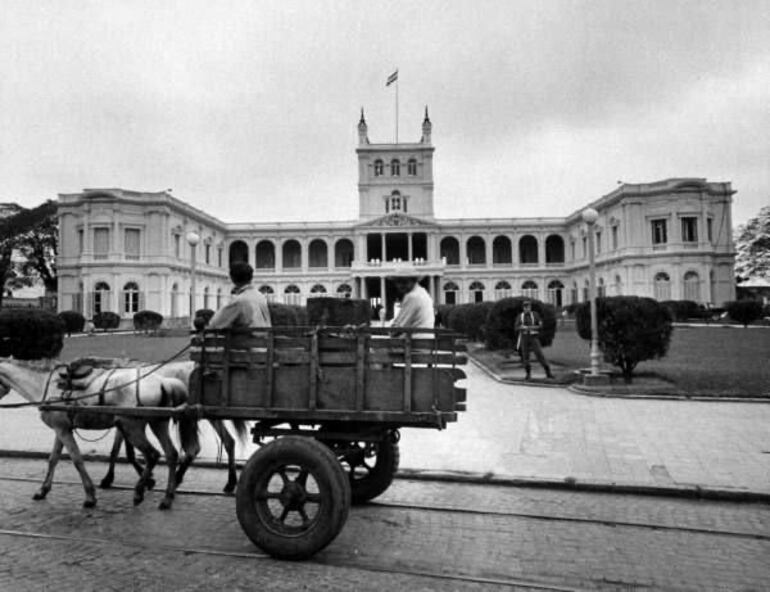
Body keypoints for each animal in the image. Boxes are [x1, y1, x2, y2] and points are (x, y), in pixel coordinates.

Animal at [0, 358, 201, 512]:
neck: (46, 386)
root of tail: (163, 381)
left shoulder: (63, 430)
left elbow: (77, 460)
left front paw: (90, 496)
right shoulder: (61, 429)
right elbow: (53, 459)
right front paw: (43, 490)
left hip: (132, 427)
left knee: (152, 454)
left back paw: (139, 492)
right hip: (157, 423)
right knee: (171, 454)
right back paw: (167, 497)